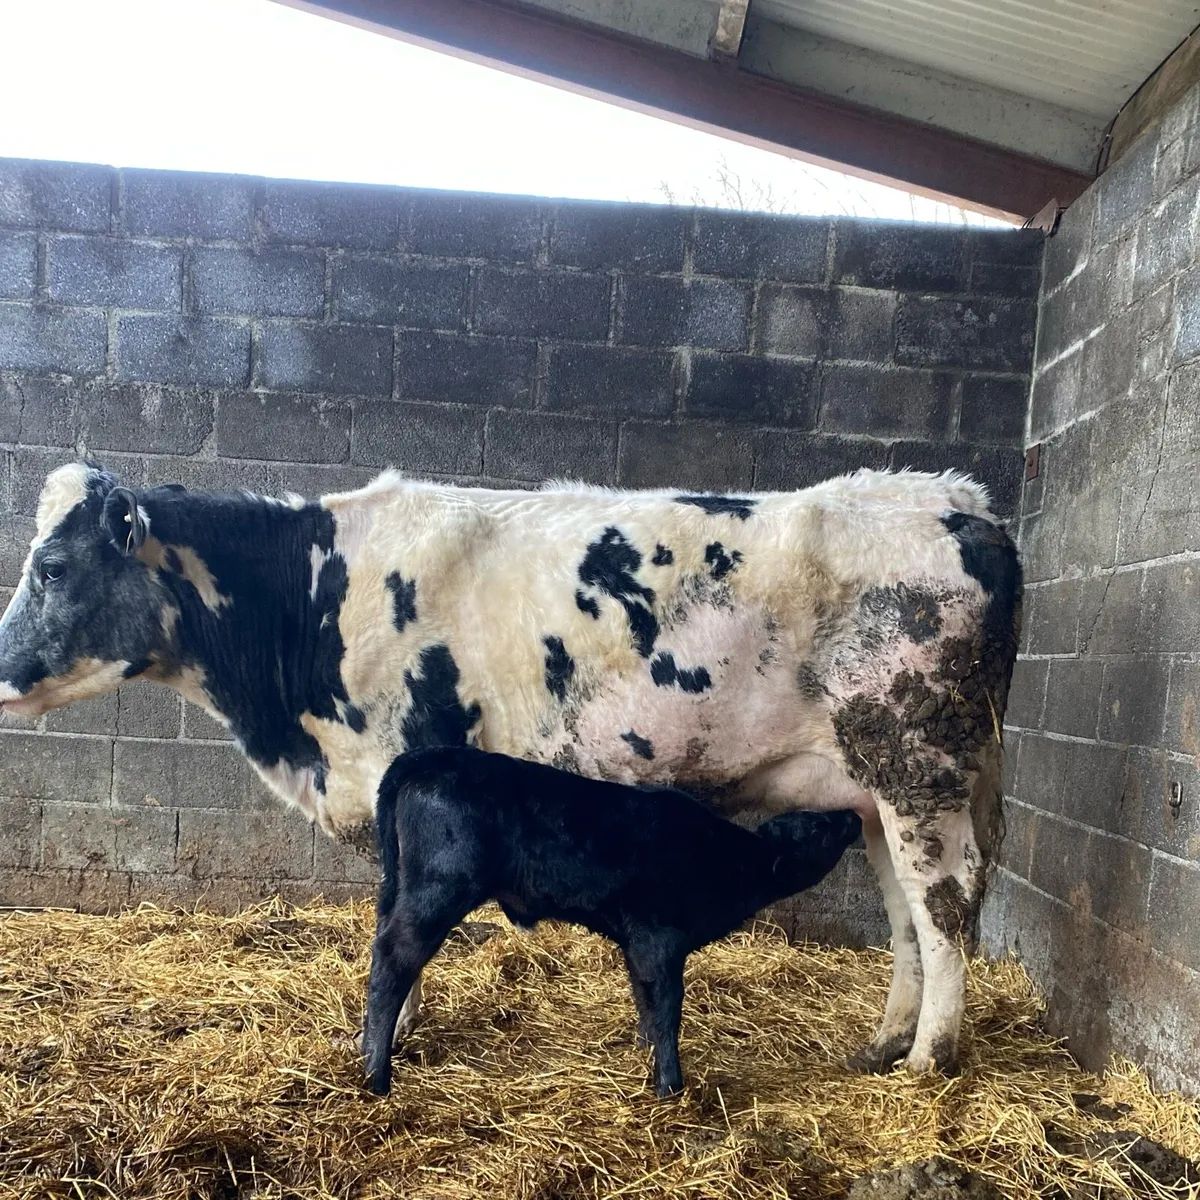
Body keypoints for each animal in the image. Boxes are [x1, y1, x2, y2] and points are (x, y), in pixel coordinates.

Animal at [364, 745, 863, 1097]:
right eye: (819, 829)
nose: (854, 814)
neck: (721, 859)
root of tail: (426, 757)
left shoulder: (637, 943)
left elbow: (645, 1000)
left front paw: (645, 1053)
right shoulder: (659, 939)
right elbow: (667, 1008)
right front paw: (670, 1085)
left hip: (402, 888)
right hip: (439, 888)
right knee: (394, 959)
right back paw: (377, 1076)